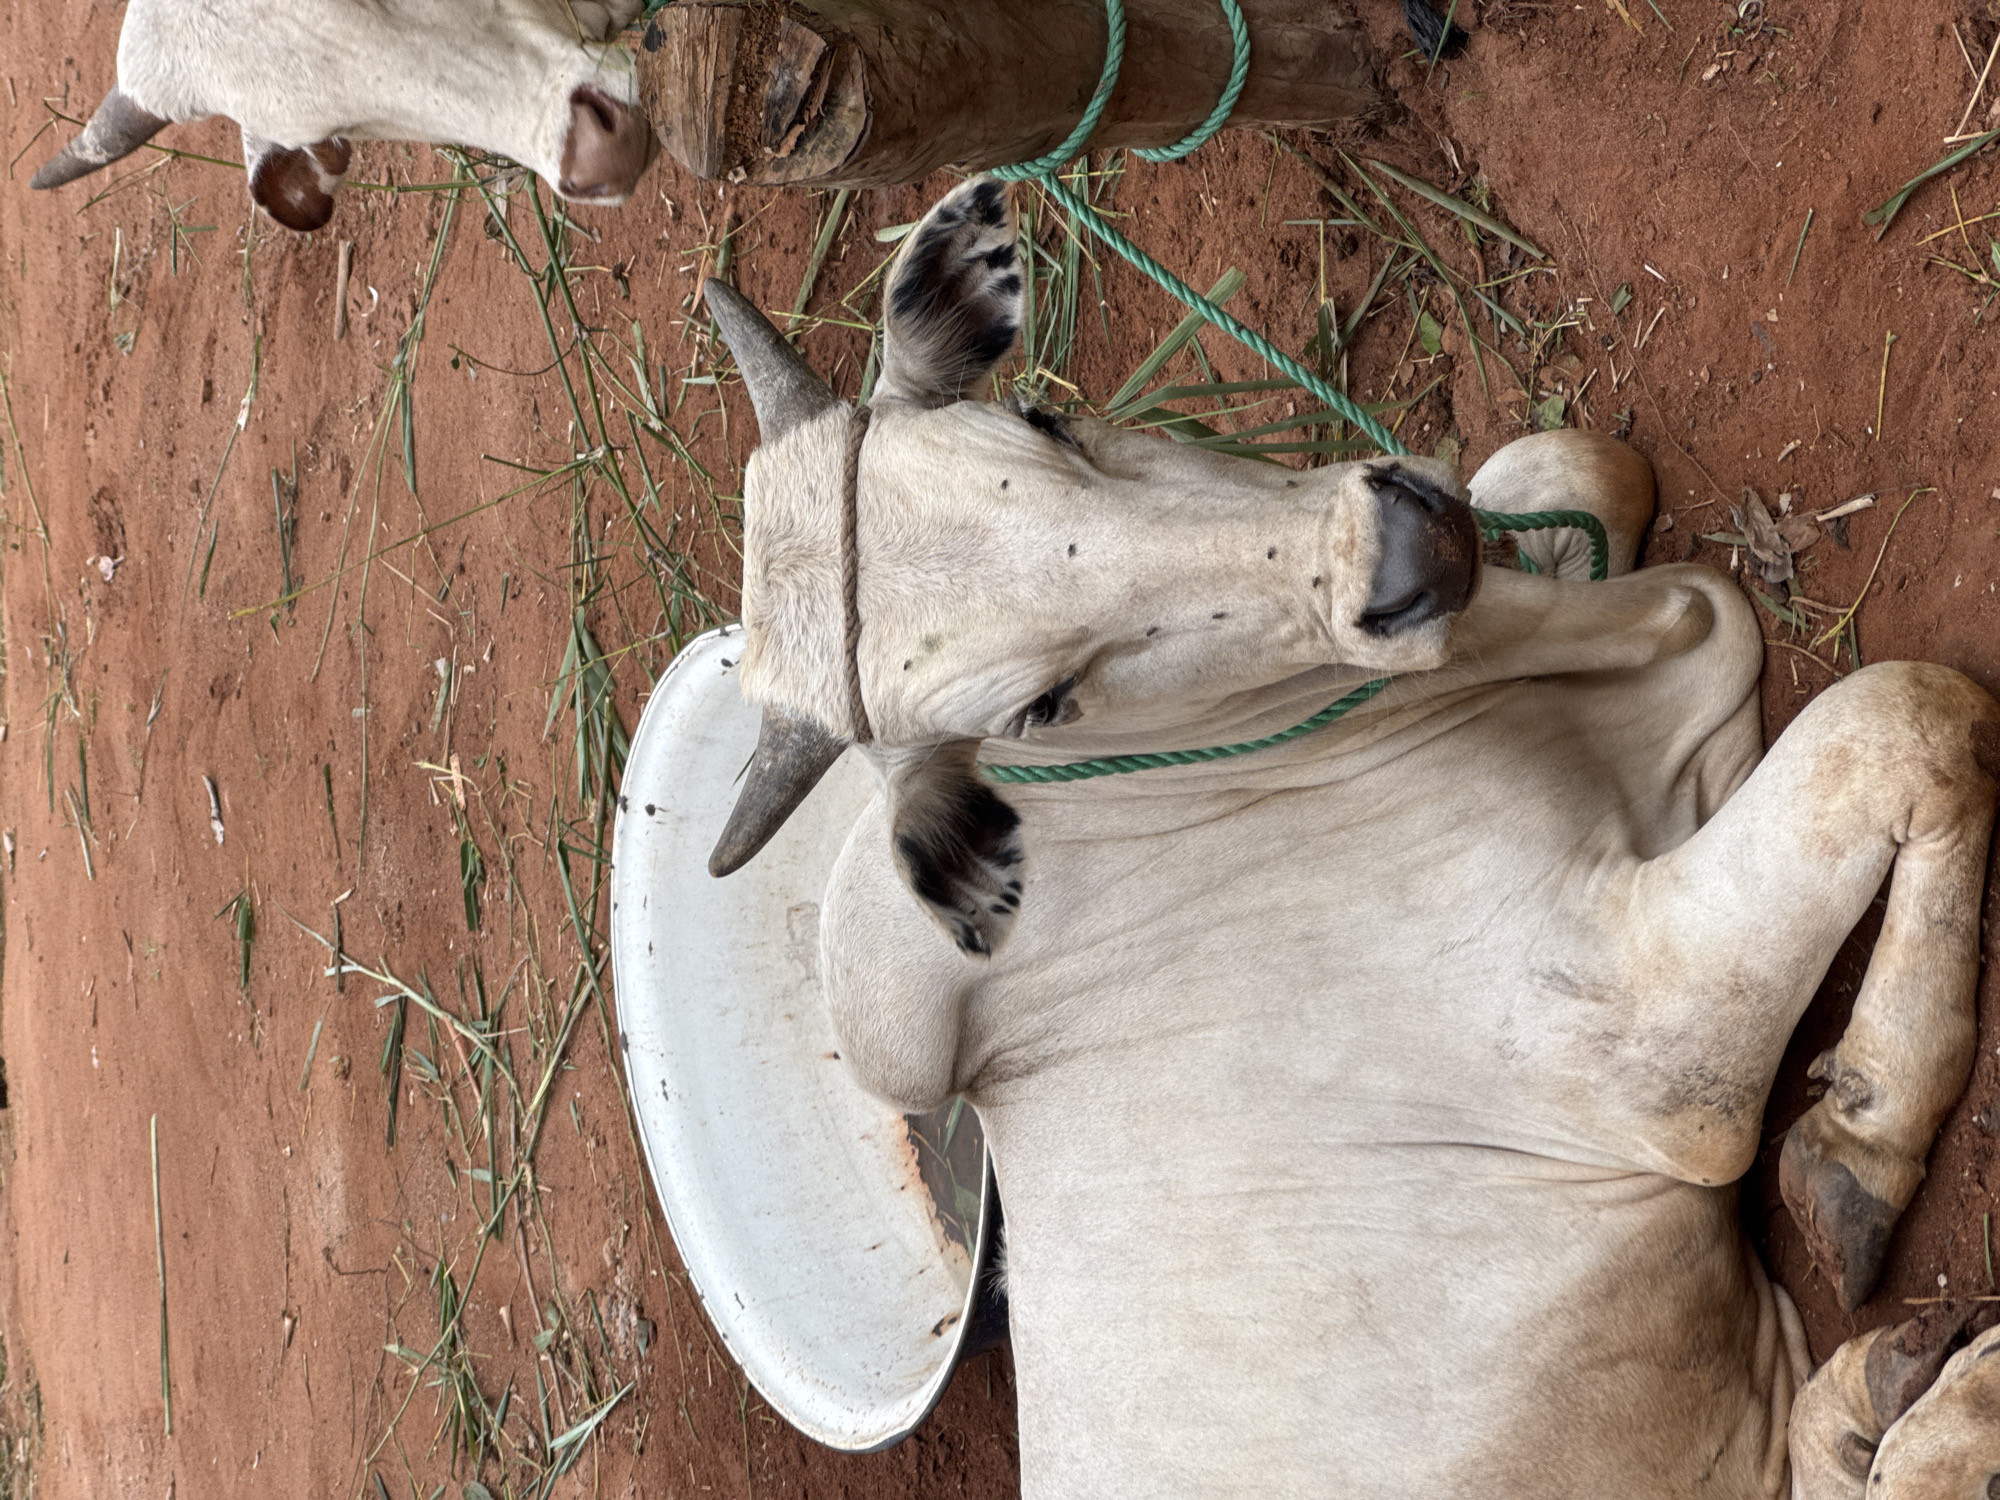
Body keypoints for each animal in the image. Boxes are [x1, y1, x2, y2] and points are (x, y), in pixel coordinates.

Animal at [697, 177, 2000, 1497]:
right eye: (1038, 708)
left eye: (1045, 416)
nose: (1402, 556)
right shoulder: (1636, 1038)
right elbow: (1912, 713)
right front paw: (1858, 1140)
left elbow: (1575, 458)